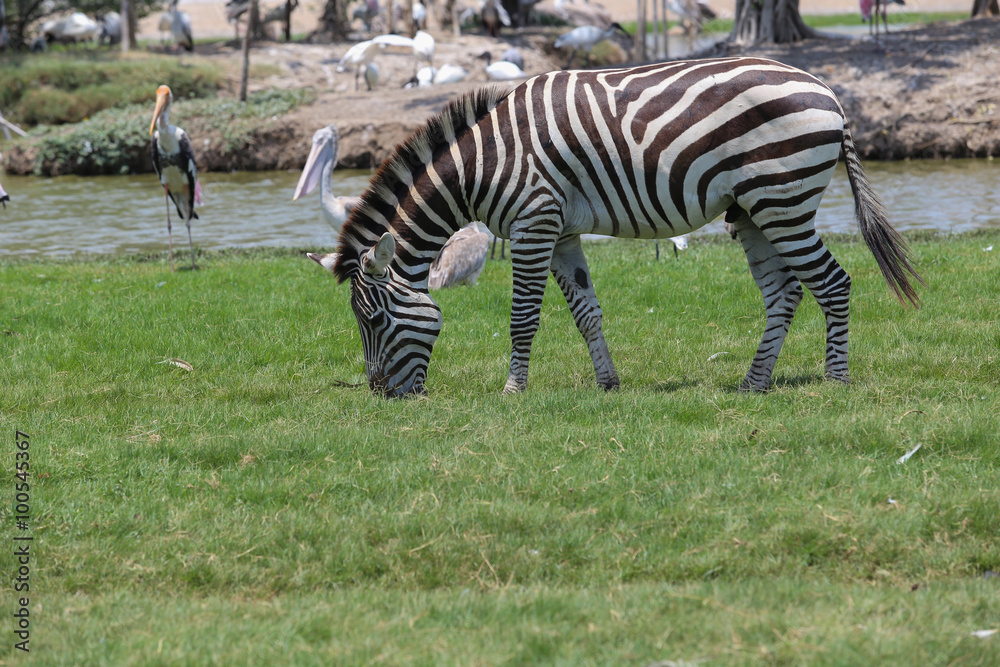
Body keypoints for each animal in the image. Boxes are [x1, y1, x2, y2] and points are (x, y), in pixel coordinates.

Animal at [317, 57, 922, 397]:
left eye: (372, 321)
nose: (382, 395)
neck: (480, 163)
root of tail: (828, 90)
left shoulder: (534, 221)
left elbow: (523, 317)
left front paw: (512, 390)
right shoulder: (560, 230)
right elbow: (586, 311)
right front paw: (607, 384)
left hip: (783, 199)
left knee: (833, 284)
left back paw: (835, 382)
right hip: (753, 210)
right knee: (785, 293)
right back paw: (754, 384)